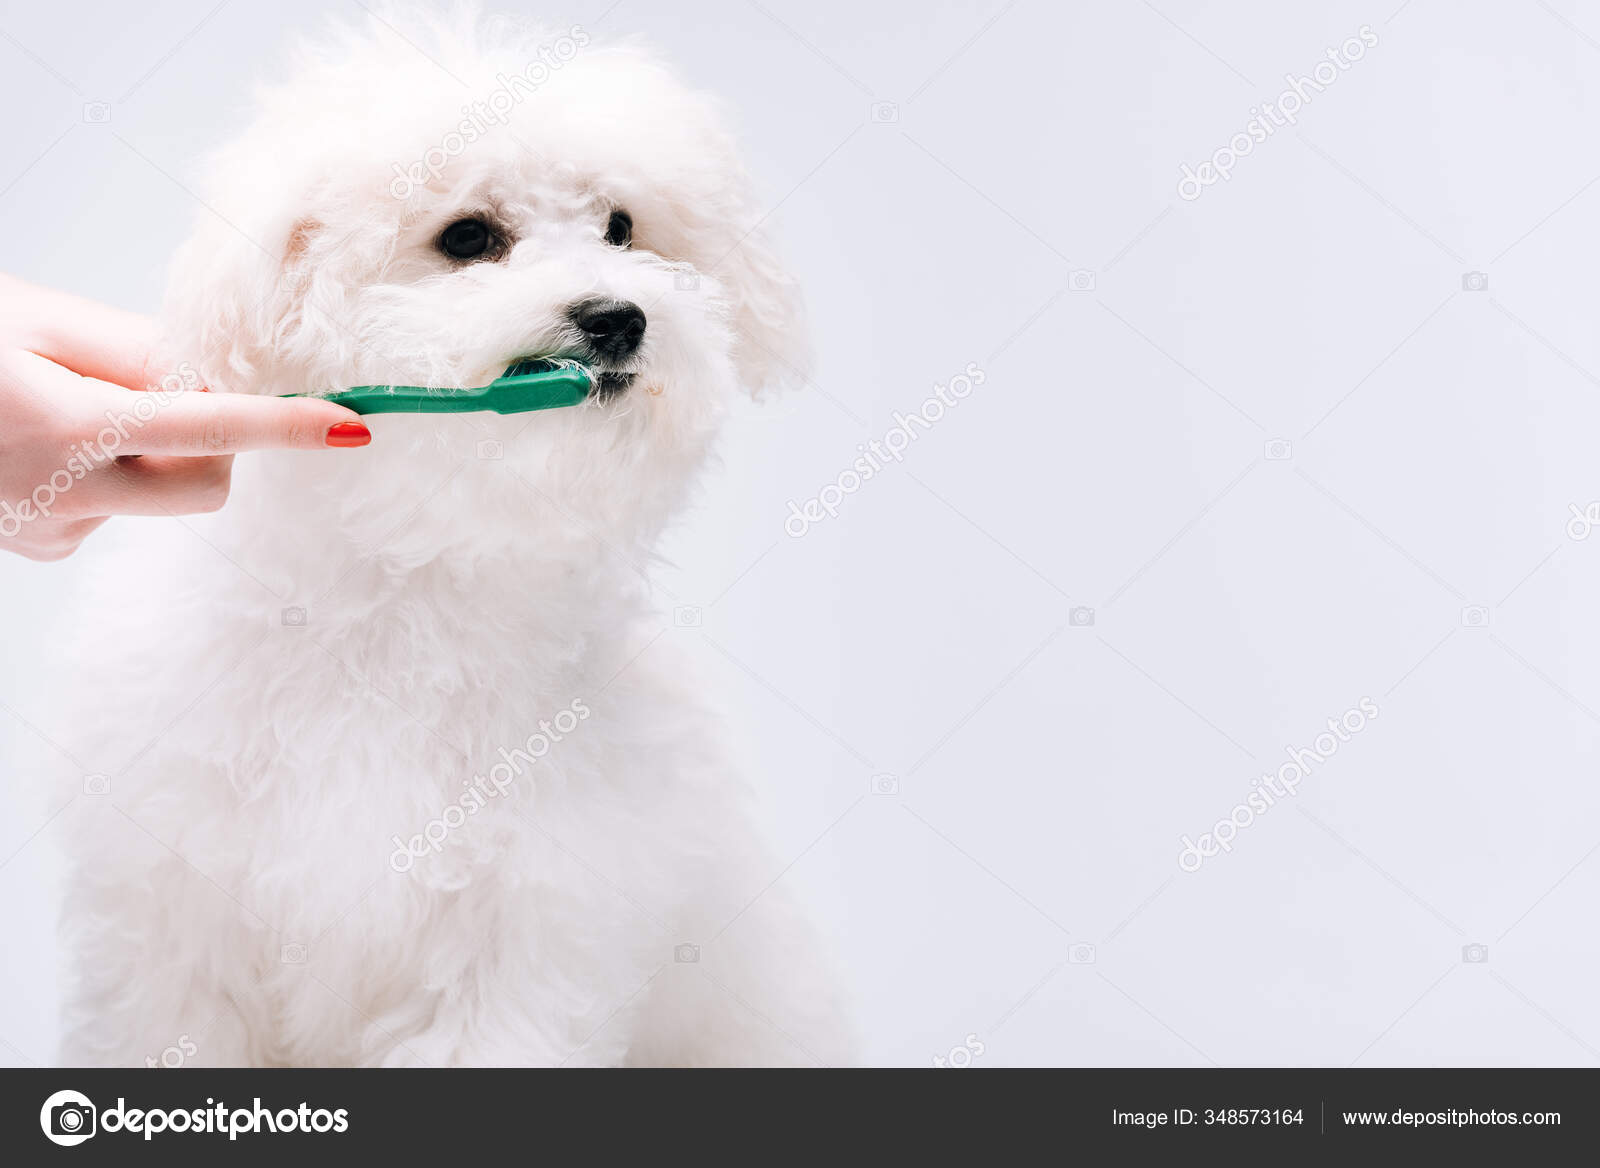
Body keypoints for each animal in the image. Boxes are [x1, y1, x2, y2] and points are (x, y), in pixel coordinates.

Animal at [53, 9, 851, 1062]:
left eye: (622, 227)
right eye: (469, 236)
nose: (618, 316)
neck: (405, 598)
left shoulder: (522, 945)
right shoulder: (173, 934)